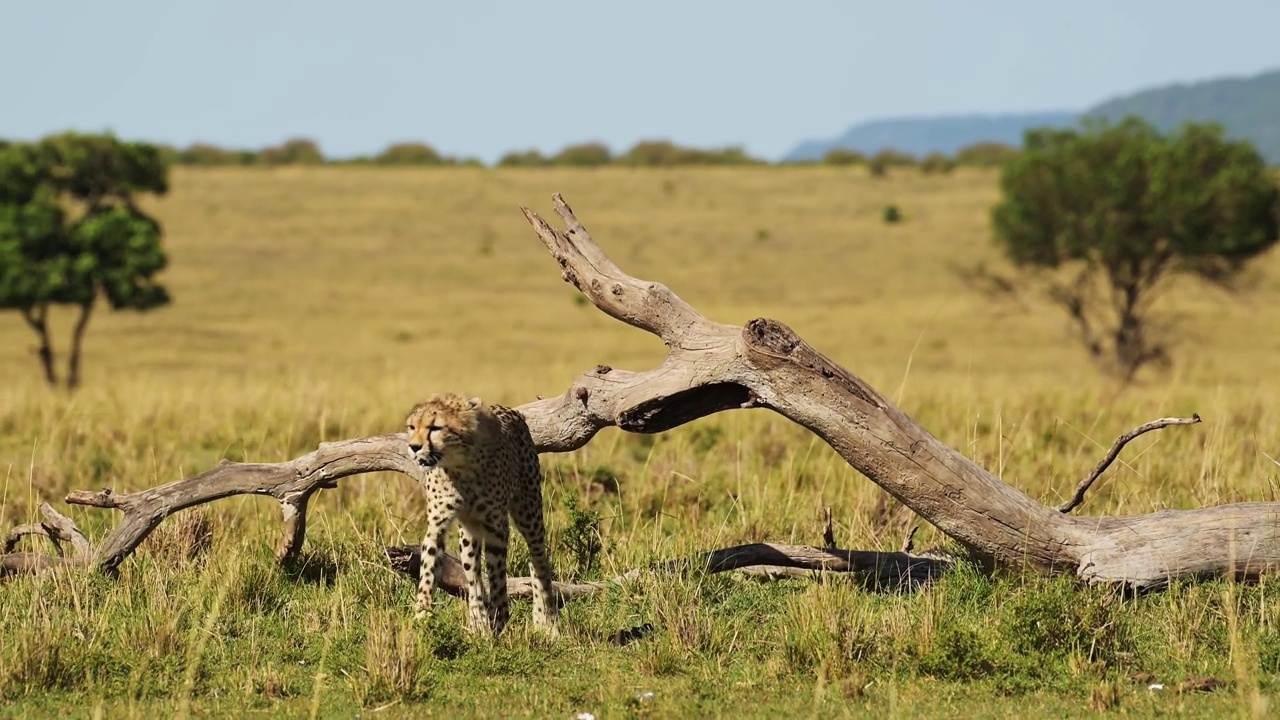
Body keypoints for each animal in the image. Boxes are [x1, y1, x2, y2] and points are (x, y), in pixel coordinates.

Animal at [404, 392, 555, 632]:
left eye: (435, 427)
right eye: (412, 427)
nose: (414, 447)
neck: (459, 465)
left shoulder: (497, 525)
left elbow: (497, 574)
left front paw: (499, 617)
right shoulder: (438, 524)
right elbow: (429, 568)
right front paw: (423, 615)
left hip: (529, 512)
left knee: (538, 561)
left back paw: (545, 621)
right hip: (469, 531)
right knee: (472, 572)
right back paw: (477, 620)